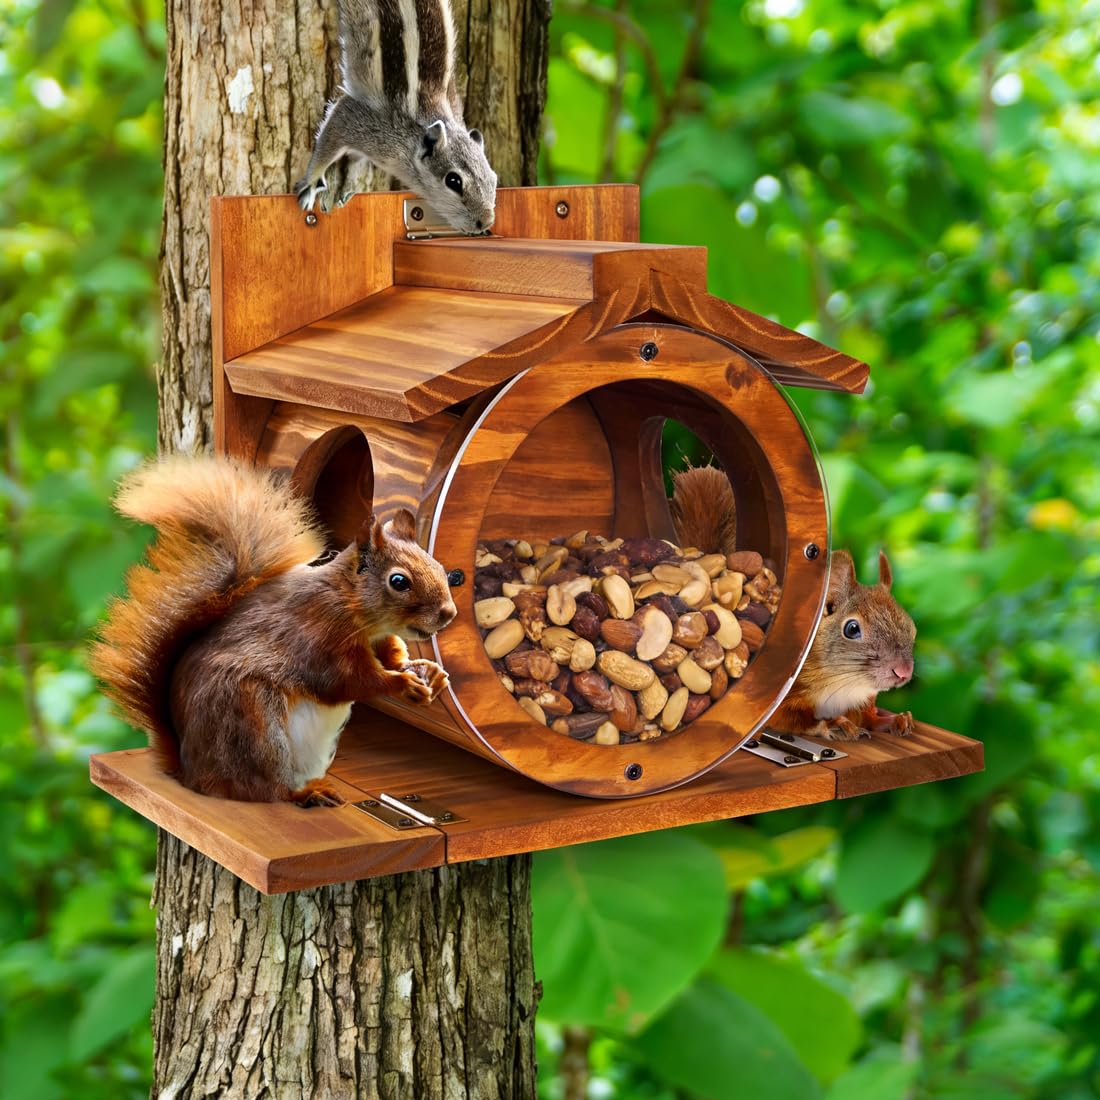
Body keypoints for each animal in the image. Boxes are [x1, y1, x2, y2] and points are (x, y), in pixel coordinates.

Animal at [88, 455, 457, 807]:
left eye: (440, 568)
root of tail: (190, 773)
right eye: (399, 581)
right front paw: (401, 684)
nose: (448, 613)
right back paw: (304, 795)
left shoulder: (378, 638)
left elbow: (391, 655)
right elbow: (348, 680)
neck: (355, 610)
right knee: (261, 789)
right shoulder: (318, 636)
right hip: (253, 724)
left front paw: (428, 672)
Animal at [295, 0, 498, 234]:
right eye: (453, 181)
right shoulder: (366, 127)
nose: (486, 222)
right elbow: (333, 131)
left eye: (494, 179)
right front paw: (311, 184)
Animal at [670, 464, 916, 741]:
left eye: (911, 627)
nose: (903, 671)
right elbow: (793, 720)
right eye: (852, 629)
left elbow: (867, 716)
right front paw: (833, 724)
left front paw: (894, 720)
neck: (845, 684)